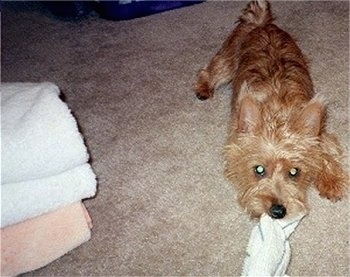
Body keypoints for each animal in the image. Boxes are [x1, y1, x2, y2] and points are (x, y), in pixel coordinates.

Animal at [194, 1, 348, 219]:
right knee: (209, 70)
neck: (277, 111)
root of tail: (261, 23)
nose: (278, 211)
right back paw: (203, 88)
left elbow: (329, 154)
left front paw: (332, 182)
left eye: (294, 172)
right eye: (259, 170)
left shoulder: (323, 135)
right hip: (227, 60)